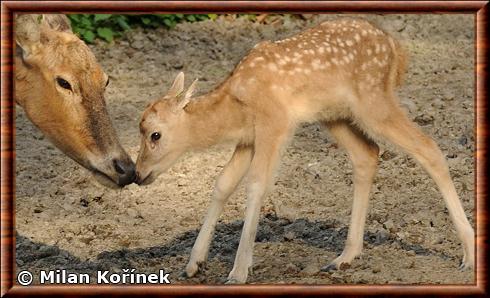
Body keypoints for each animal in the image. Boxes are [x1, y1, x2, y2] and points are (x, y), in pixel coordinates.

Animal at [136, 19, 472, 284]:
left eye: (155, 134)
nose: (138, 174)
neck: (235, 107)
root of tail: (394, 48)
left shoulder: (275, 124)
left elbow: (256, 185)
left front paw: (239, 271)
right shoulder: (248, 138)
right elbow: (222, 184)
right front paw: (193, 264)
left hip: (373, 100)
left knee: (428, 147)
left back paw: (468, 254)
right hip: (335, 115)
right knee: (368, 153)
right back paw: (345, 256)